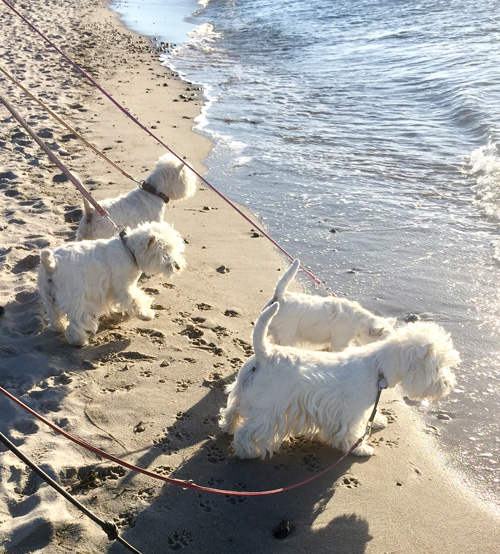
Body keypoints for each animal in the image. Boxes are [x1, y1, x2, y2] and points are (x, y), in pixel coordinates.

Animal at [37, 220, 186, 344]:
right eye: (164, 251)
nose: (178, 266)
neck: (129, 250)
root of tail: (51, 264)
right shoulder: (122, 287)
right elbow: (135, 300)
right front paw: (146, 314)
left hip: (48, 296)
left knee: (54, 315)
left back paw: (58, 328)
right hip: (76, 298)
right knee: (77, 321)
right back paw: (78, 341)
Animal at [221, 302, 458, 458]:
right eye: (438, 367)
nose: (449, 386)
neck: (379, 368)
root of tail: (265, 354)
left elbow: (372, 415)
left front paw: (379, 421)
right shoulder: (352, 411)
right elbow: (353, 431)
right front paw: (361, 448)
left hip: (243, 392)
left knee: (232, 411)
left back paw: (227, 427)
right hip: (268, 410)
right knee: (247, 432)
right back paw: (248, 452)